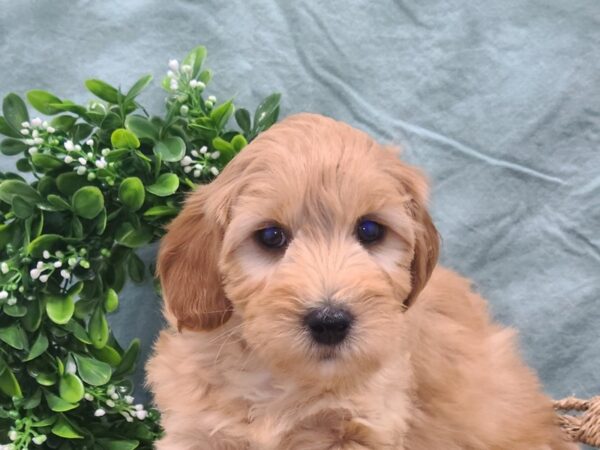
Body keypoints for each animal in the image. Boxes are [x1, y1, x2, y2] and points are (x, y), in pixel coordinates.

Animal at [146, 113, 576, 450]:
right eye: (270, 237)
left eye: (370, 231)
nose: (330, 322)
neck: (282, 377)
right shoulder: (196, 430)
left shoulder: (365, 426)